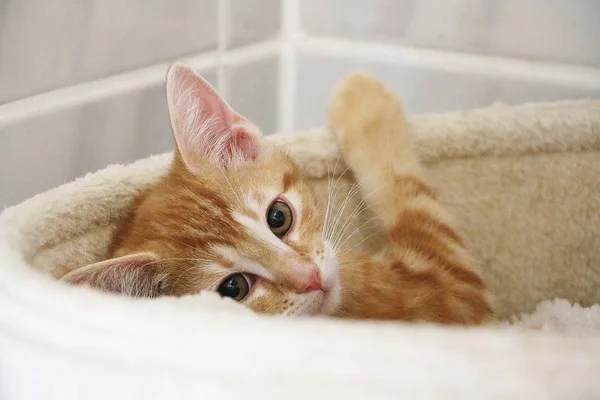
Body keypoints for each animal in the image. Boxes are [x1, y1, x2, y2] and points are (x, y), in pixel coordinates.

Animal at [62, 64, 492, 324]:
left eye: (278, 217)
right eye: (233, 288)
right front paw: (362, 95)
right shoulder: (453, 285)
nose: (311, 278)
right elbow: (407, 191)